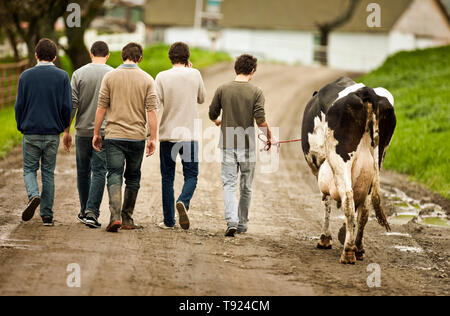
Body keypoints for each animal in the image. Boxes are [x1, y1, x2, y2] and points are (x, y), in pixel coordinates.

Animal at [300, 76, 396, 264]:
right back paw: (358, 248)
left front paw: (325, 238)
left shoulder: (317, 165)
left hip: (340, 160)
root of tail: (366, 92)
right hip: (376, 163)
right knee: (364, 208)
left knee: (348, 200)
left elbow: (326, 202)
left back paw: (348, 251)